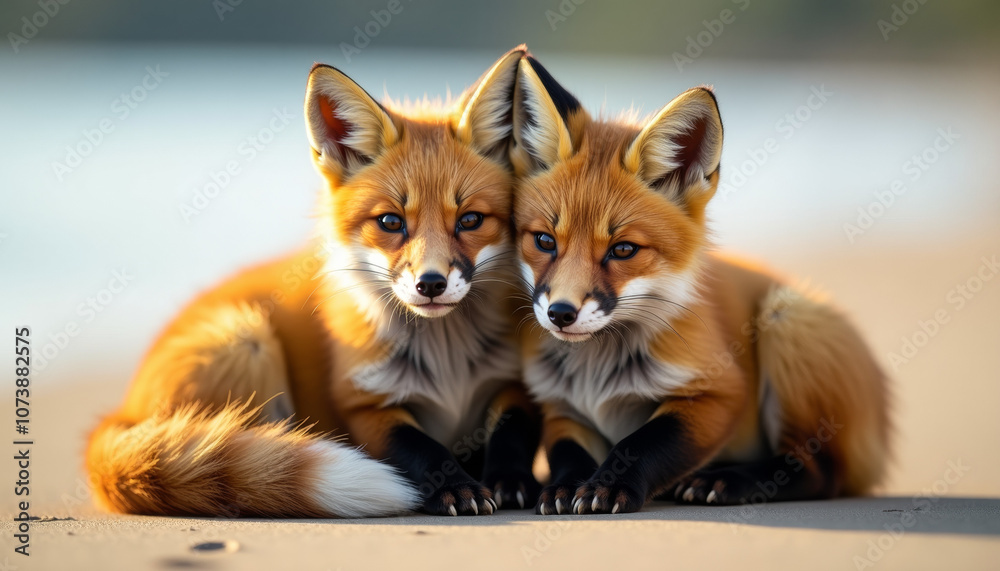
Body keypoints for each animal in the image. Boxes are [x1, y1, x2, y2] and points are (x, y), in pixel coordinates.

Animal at [85, 46, 542, 518]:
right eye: (391, 222)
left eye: (470, 220)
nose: (430, 284)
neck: (448, 368)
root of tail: (120, 411)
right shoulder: (365, 405)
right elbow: (418, 447)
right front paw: (453, 486)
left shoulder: (514, 383)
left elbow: (514, 428)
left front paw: (510, 479)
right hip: (246, 341)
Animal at [508, 55, 891, 515]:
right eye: (544, 241)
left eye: (623, 250)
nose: (560, 314)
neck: (597, 374)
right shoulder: (561, 408)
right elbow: (568, 455)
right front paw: (565, 486)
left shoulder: (719, 394)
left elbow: (641, 444)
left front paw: (609, 486)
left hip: (787, 320)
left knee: (819, 472)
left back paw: (729, 480)